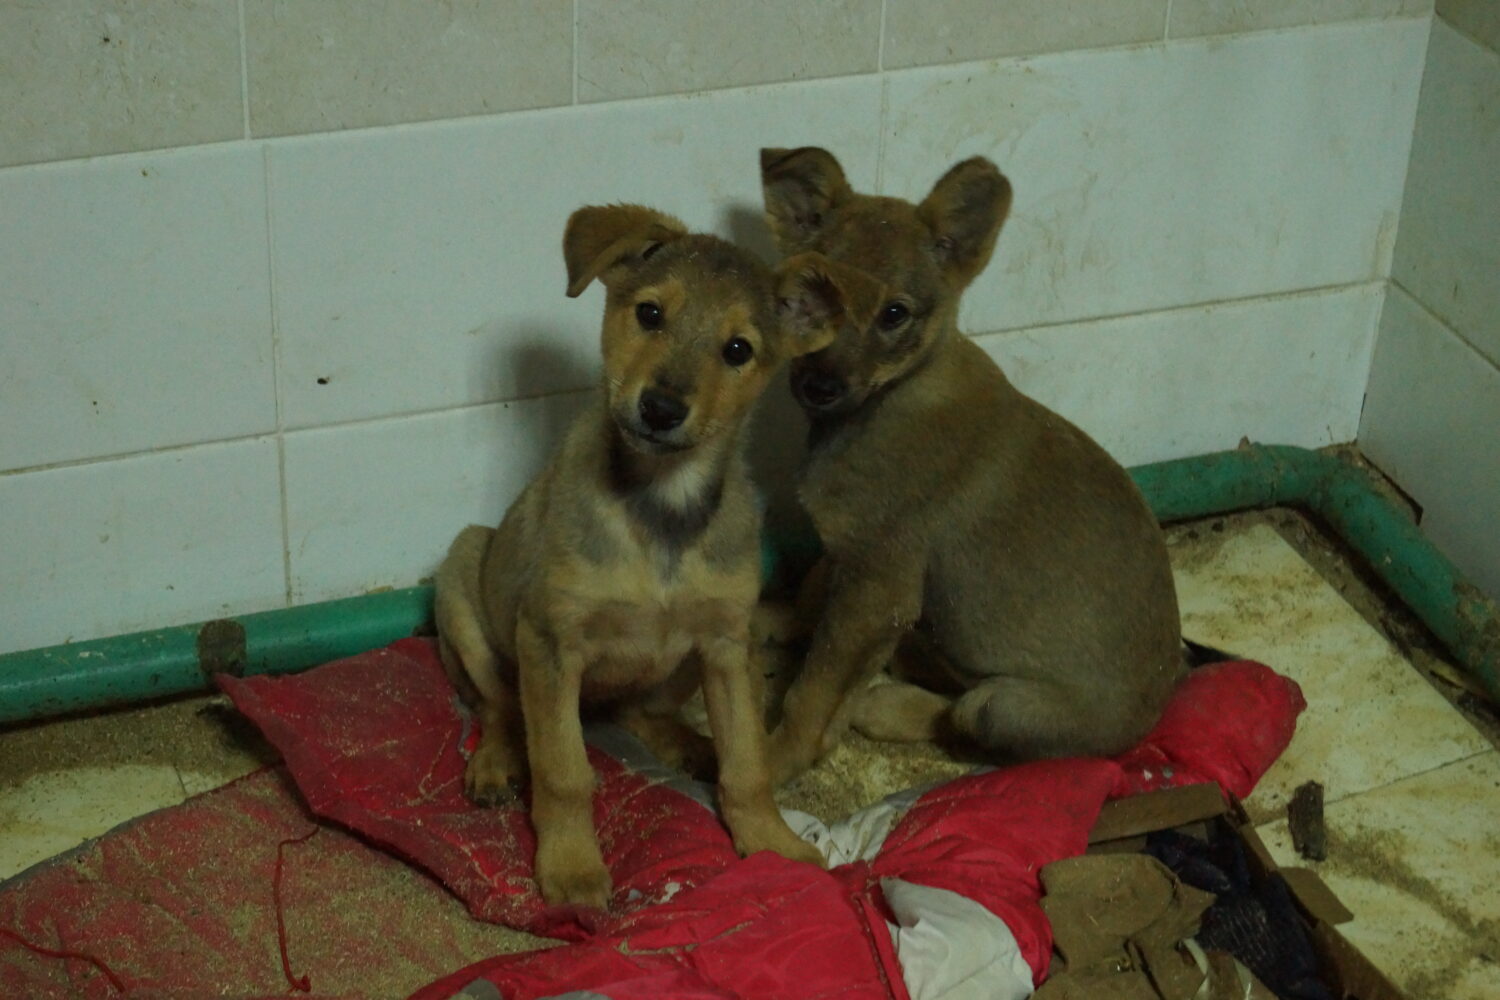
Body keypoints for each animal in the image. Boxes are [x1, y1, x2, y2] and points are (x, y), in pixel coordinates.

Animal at [435, 203, 840, 905]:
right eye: (649, 313)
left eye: (738, 349)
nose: (660, 407)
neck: (663, 507)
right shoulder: (549, 639)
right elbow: (563, 769)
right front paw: (571, 866)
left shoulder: (728, 642)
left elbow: (748, 762)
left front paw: (771, 842)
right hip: (465, 583)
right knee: (500, 706)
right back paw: (495, 762)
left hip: (684, 663)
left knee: (636, 709)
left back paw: (687, 744)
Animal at [762, 148, 1182, 785]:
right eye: (806, 294)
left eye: (893, 314)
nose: (820, 387)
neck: (889, 397)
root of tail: (1154, 716)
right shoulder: (856, 561)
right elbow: (812, 595)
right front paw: (777, 620)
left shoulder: (879, 585)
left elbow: (812, 690)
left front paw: (771, 762)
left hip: (1002, 705)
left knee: (964, 723)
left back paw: (891, 702)